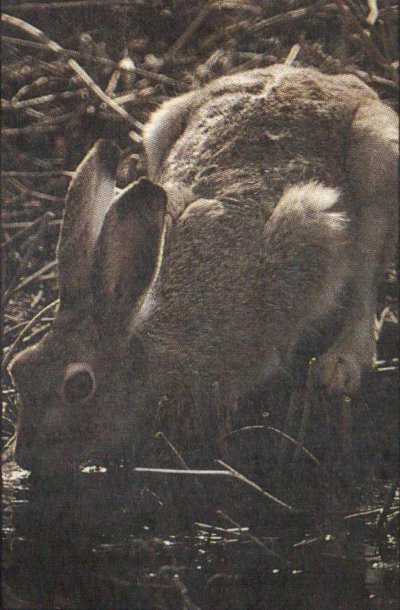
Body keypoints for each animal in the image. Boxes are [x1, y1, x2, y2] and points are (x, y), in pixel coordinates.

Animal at [9, 64, 398, 475]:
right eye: (18, 369)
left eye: (79, 386)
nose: (25, 458)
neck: (147, 333)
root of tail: (329, 79)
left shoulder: (313, 227)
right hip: (160, 127)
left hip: (379, 163)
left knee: (366, 281)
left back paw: (339, 366)